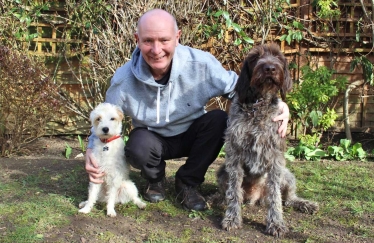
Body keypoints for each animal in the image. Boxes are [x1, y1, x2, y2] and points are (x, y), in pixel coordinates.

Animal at [216, 42, 318, 236]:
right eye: (255, 57)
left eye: (277, 56)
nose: (270, 68)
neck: (258, 105)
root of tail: (255, 197)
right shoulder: (234, 156)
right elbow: (233, 191)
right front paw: (232, 218)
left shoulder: (275, 158)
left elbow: (275, 197)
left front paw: (276, 223)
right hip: (222, 171)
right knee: (230, 194)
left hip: (286, 175)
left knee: (288, 199)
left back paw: (305, 204)